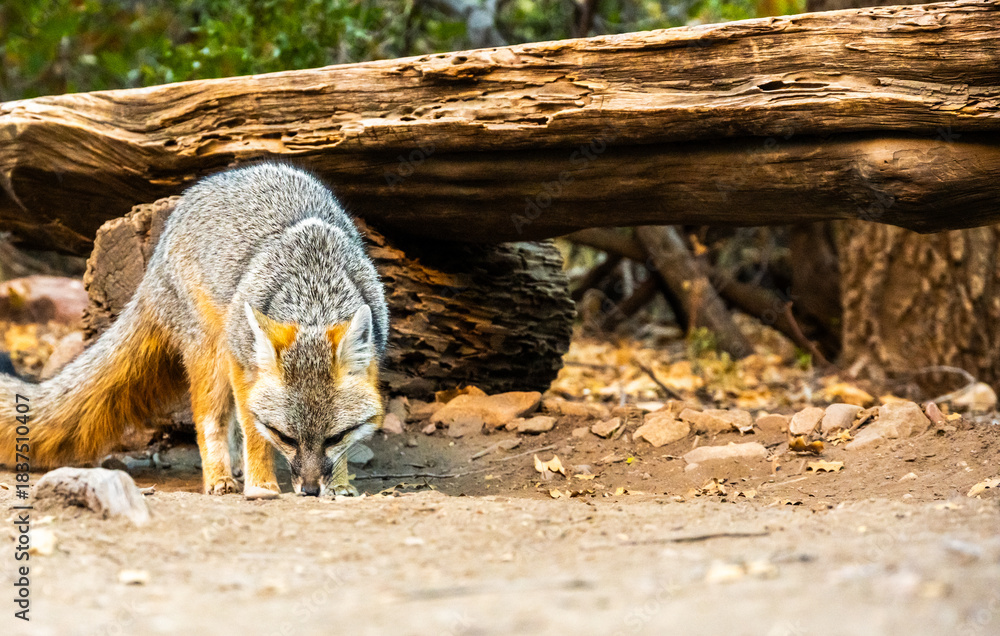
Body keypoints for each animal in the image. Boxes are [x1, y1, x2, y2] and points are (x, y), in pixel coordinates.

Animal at [0, 163, 388, 499]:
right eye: (286, 437)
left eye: (335, 437)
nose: (309, 491)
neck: (314, 287)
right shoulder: (242, 364)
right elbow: (253, 432)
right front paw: (261, 484)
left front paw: (340, 484)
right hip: (213, 354)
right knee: (210, 419)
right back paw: (220, 477)